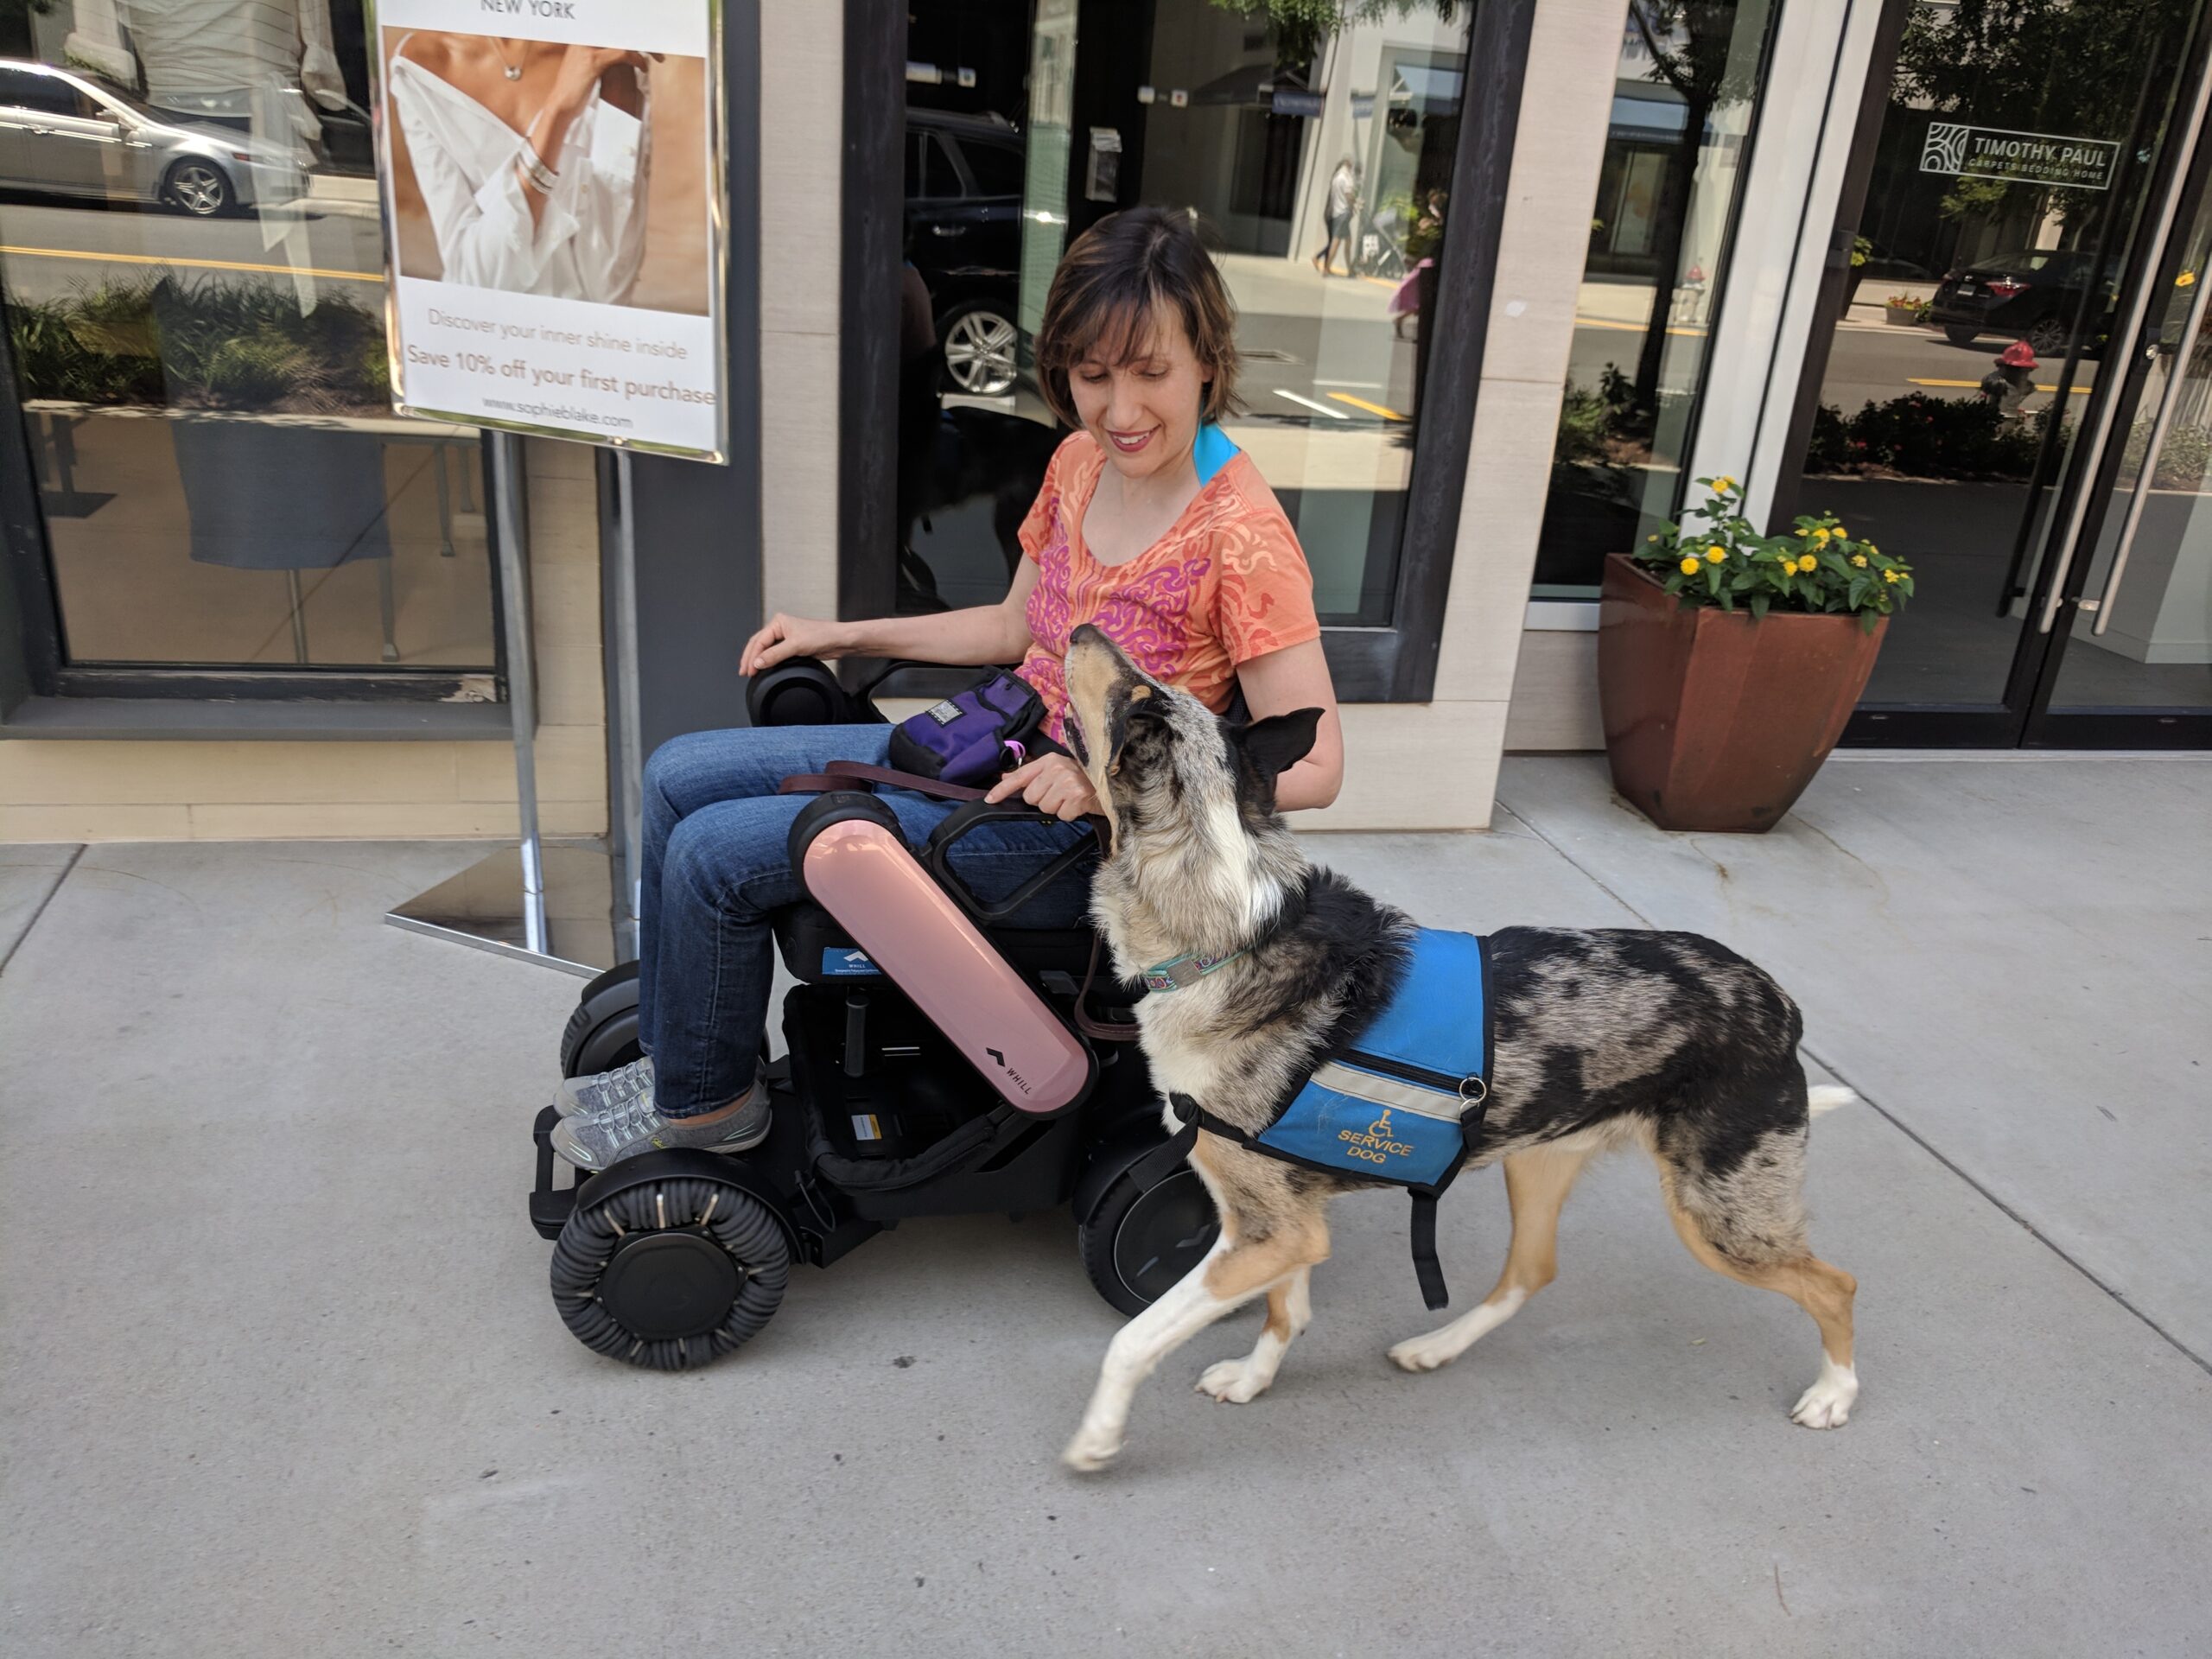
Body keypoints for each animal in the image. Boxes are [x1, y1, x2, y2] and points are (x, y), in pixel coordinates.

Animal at [1055, 625, 1860, 1472]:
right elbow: (1286, 1314)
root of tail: (1779, 1005)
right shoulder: (1289, 1227)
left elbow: (1133, 1340)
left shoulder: (1267, 1231)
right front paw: (1252, 1379)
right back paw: (1436, 1346)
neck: (1229, 933)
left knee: (1835, 1286)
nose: (1082, 630)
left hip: (1723, 1221)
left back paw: (1834, 1394)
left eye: (1133, 692)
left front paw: (1097, 1437)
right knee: (1531, 1271)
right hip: (1540, 1161)